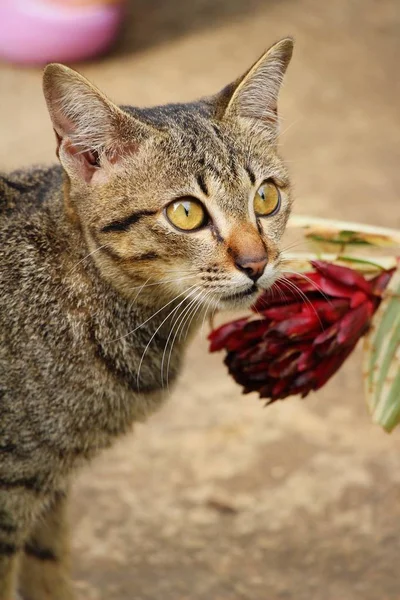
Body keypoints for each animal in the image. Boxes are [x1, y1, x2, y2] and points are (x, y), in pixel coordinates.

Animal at [0, 38, 294, 600]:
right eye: (186, 213)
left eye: (266, 197)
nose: (256, 262)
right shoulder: (14, 489)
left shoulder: (48, 482)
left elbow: (49, 567)